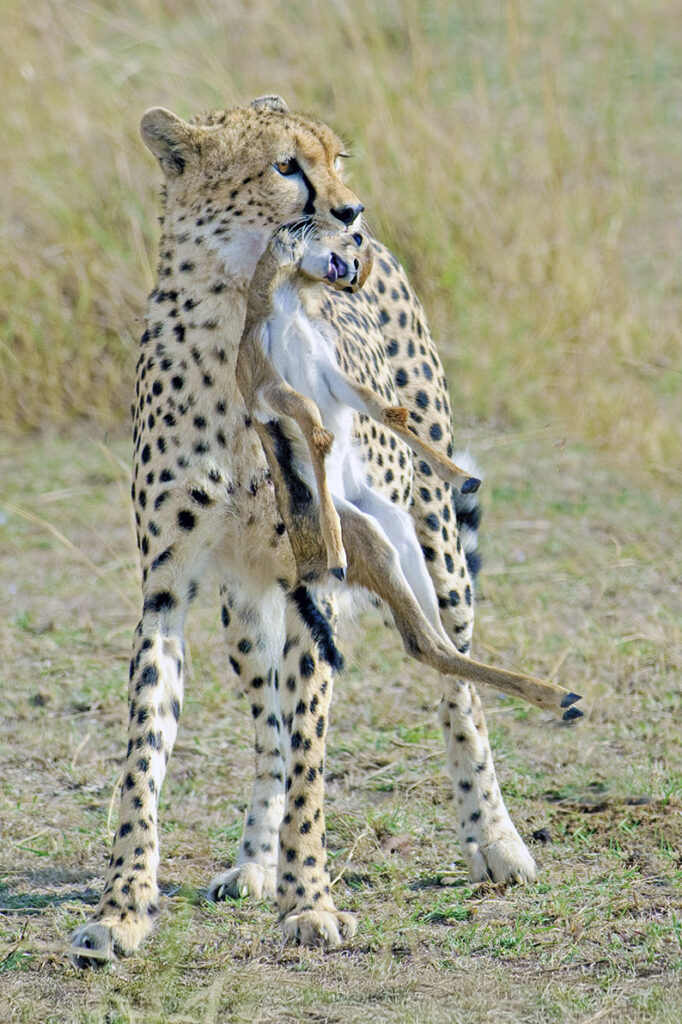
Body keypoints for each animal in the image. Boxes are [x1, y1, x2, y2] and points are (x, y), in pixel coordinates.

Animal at [70, 95, 539, 966]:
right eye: (285, 166)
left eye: (337, 158)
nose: (350, 214)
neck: (240, 310)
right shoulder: (168, 591)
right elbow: (146, 757)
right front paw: (122, 911)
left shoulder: (319, 571)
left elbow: (315, 757)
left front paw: (310, 902)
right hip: (246, 610)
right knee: (269, 728)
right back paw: (254, 860)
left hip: (435, 546)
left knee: (458, 685)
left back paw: (494, 840)